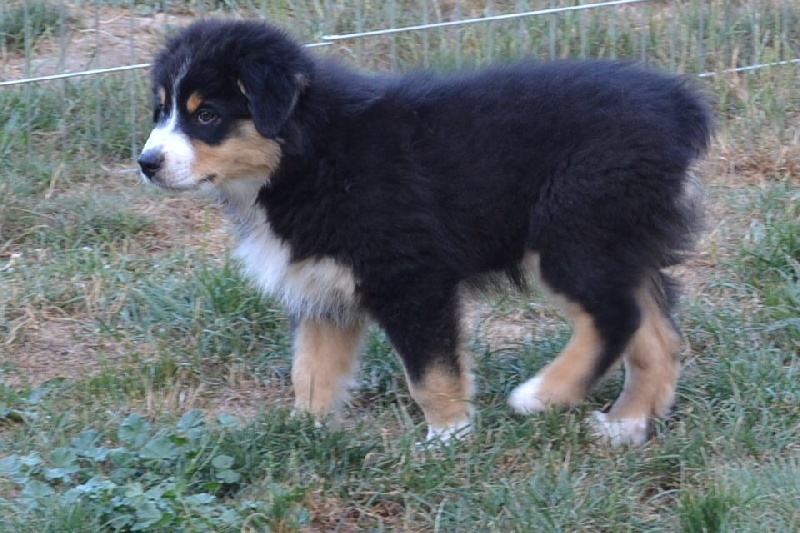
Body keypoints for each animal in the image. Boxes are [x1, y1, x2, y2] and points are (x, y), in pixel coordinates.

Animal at [137, 19, 712, 446]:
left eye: (207, 115)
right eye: (161, 110)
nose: (146, 162)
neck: (307, 154)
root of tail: (677, 105)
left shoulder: (410, 277)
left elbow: (429, 372)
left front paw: (448, 438)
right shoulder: (321, 286)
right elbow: (312, 368)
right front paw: (306, 433)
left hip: (573, 230)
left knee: (615, 317)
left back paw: (543, 396)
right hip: (618, 237)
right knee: (657, 335)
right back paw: (625, 425)